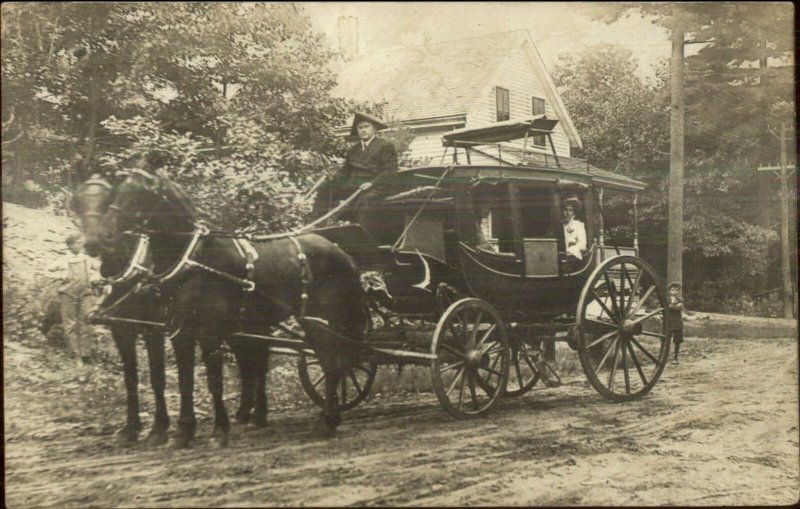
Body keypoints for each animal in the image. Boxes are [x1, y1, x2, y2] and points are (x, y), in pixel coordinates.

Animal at [94, 165, 366, 442]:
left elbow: (213, 380)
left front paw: (217, 429)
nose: (103, 237)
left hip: (326, 318)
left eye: (138, 194)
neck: (195, 260)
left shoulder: (201, 331)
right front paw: (182, 430)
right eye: (117, 192)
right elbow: (182, 380)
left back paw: (325, 420)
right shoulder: (176, 330)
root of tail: (340, 251)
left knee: (332, 363)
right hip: (294, 321)